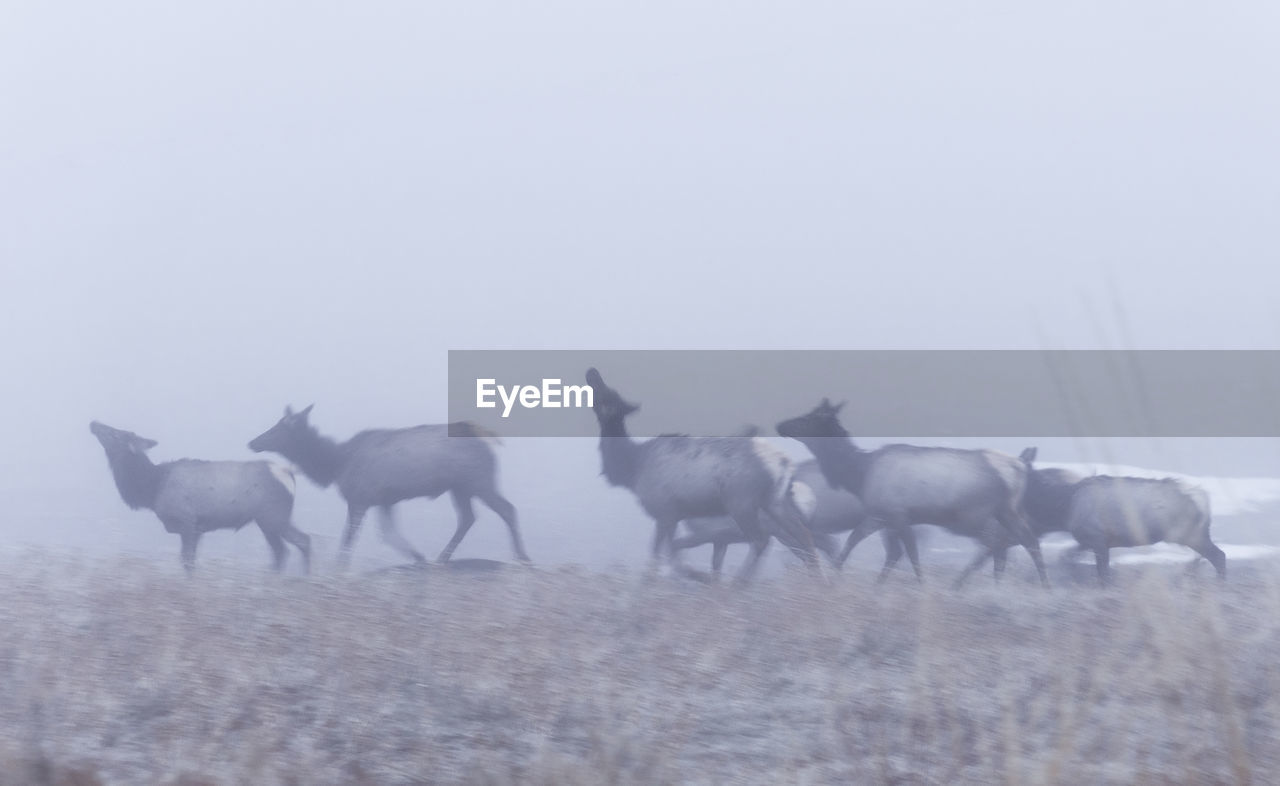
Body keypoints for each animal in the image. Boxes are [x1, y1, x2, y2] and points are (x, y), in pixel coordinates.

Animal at [89, 422, 309, 576]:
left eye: (115, 433)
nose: (94, 422)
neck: (151, 489)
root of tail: (290, 475)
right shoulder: (197, 528)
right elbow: (191, 561)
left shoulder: (187, 521)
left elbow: (187, 561)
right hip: (271, 520)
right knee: (292, 546)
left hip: (272, 517)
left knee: (293, 545)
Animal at [249, 409, 529, 570]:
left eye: (279, 429)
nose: (253, 442)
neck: (335, 464)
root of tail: (488, 438)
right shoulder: (385, 500)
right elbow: (388, 533)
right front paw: (418, 556)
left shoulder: (360, 498)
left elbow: (349, 538)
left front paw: (339, 568)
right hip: (459, 487)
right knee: (468, 518)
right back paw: (442, 558)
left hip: (478, 481)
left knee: (507, 509)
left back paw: (522, 557)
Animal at [583, 368, 819, 586]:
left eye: (604, 395)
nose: (592, 372)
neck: (631, 468)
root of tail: (783, 463)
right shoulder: (674, 517)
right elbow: (672, 552)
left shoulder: (665, 513)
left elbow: (662, 556)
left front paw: (697, 576)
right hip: (775, 501)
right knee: (804, 536)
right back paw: (819, 583)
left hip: (741, 502)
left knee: (761, 540)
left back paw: (737, 586)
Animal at [773, 404, 1044, 588]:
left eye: (810, 418)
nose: (780, 425)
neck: (859, 474)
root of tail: (1018, 467)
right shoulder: (880, 516)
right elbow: (852, 542)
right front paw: (839, 578)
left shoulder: (898, 515)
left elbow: (910, 555)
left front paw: (921, 587)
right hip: (1005, 512)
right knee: (1024, 541)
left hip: (981, 514)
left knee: (1006, 543)